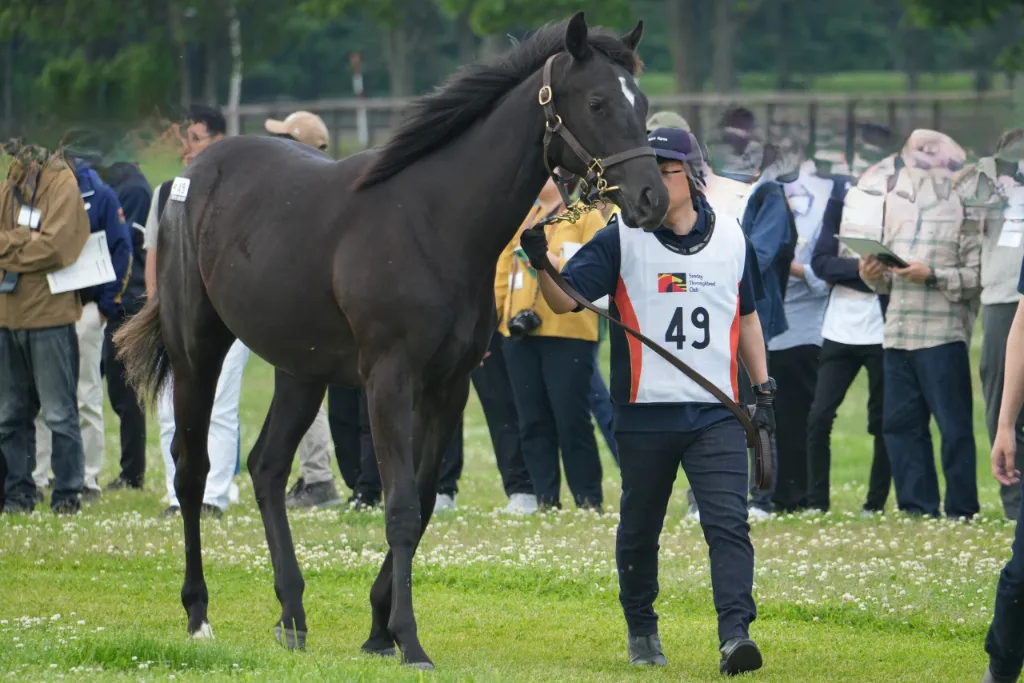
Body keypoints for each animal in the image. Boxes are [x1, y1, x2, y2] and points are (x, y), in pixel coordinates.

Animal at [114, 12, 668, 670]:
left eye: (643, 104)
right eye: (599, 102)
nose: (653, 199)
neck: (434, 221)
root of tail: (192, 173)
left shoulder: (449, 387)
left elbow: (423, 501)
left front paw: (379, 628)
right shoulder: (389, 381)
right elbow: (400, 506)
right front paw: (408, 639)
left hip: (301, 371)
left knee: (267, 467)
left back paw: (292, 615)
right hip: (199, 350)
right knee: (193, 469)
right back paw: (198, 613)